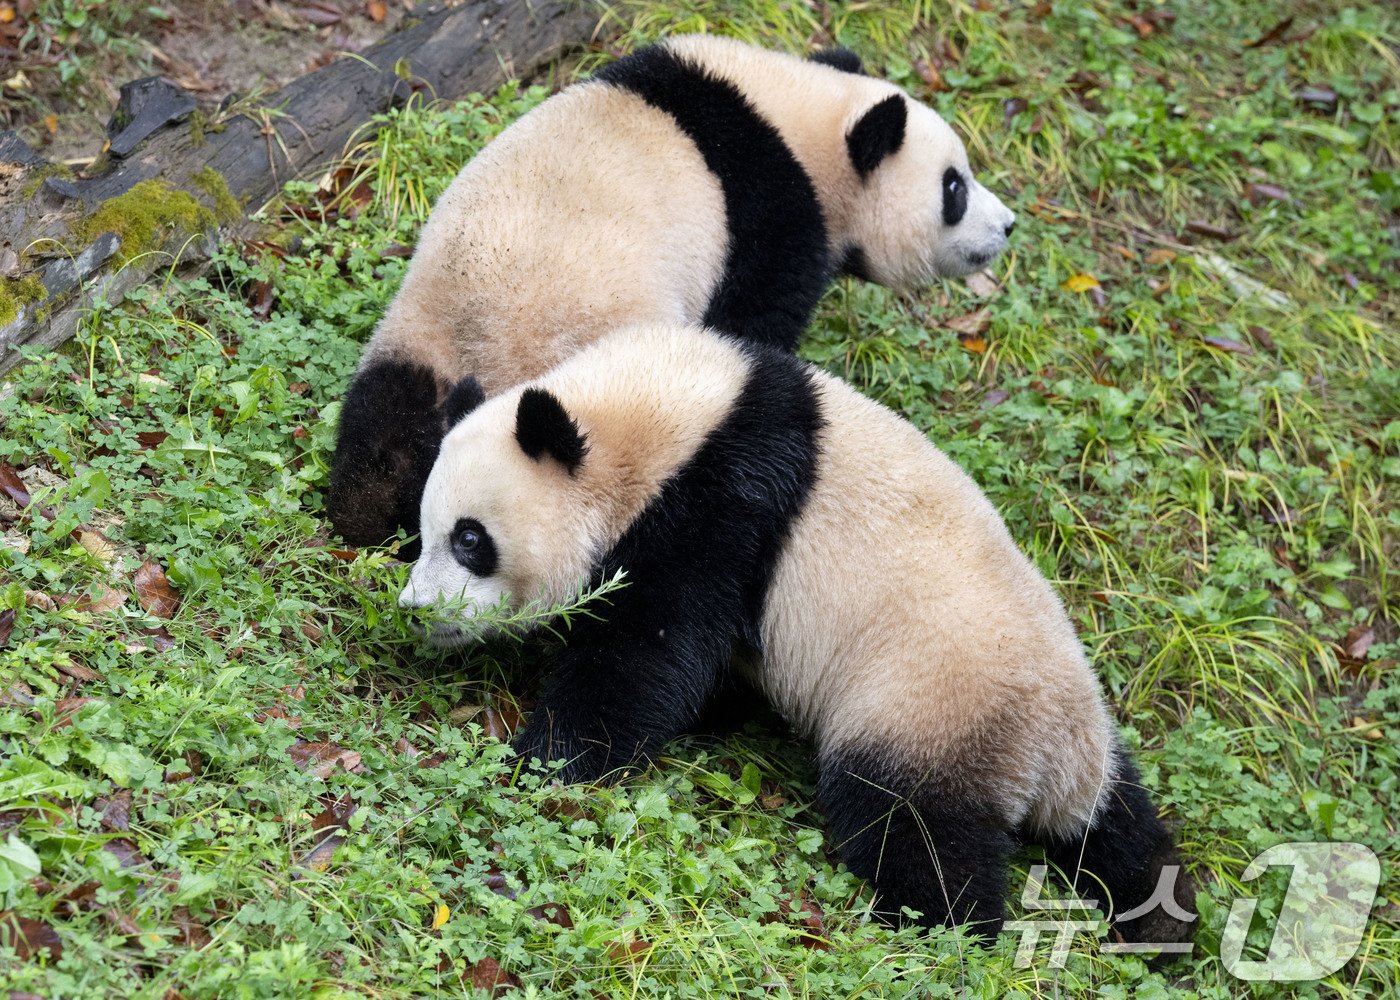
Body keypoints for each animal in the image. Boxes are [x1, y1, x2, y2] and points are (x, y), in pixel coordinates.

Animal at [324, 35, 1019, 557]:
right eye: (954, 188)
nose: (1008, 226)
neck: (801, 118)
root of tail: (481, 361)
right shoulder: (767, 220)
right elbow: (757, 316)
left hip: (417, 332)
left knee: (379, 434)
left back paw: (367, 507)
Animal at [400, 323, 1198, 941]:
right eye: (422, 530)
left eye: (470, 541)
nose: (417, 611)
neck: (665, 414)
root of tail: (1057, 754)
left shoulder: (720, 507)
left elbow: (645, 655)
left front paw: (544, 759)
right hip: (1077, 735)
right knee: (1117, 823)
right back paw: (1156, 908)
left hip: (934, 701)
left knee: (910, 819)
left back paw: (935, 922)